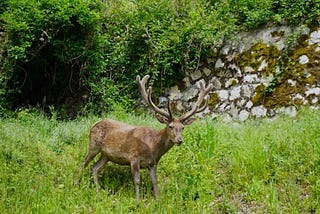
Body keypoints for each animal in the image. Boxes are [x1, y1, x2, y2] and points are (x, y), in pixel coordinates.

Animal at [79, 75, 212, 201]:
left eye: (183, 127)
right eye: (170, 126)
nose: (179, 140)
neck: (153, 147)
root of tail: (94, 124)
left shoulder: (153, 163)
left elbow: (155, 182)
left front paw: (158, 200)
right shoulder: (134, 158)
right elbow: (137, 181)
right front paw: (137, 201)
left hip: (106, 155)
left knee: (94, 167)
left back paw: (98, 190)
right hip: (93, 145)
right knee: (83, 163)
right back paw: (77, 183)